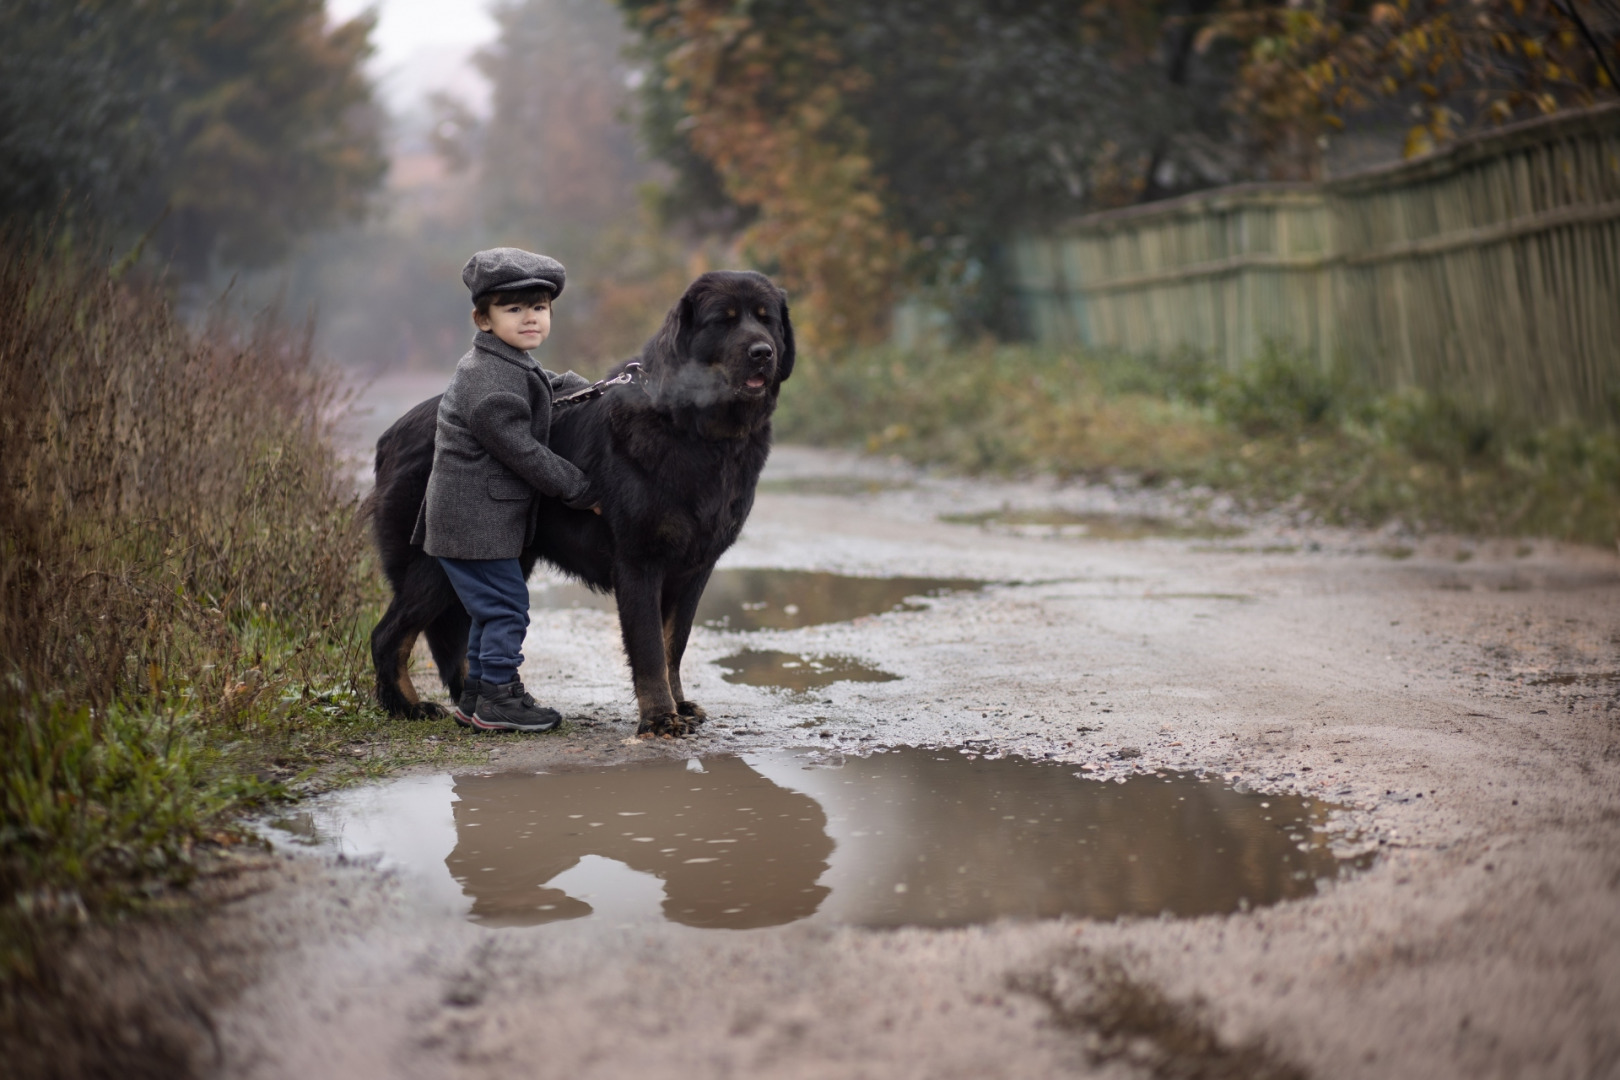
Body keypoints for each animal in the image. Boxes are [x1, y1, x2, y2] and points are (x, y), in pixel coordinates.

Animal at [369, 275, 797, 738]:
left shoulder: (693, 570)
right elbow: (650, 649)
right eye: (724, 321)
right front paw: (659, 717)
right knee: (389, 635)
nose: (762, 352)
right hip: (440, 560)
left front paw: (678, 705)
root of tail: (391, 435)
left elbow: (673, 646)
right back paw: (408, 707)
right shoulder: (640, 563)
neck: (698, 434)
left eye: (766, 320)